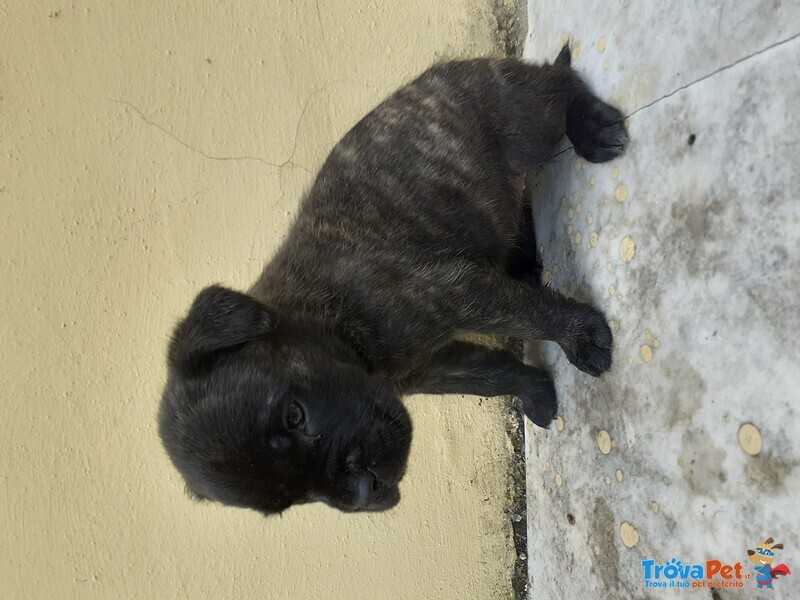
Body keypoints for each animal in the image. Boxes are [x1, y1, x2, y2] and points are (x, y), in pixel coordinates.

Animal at [159, 47, 628, 516]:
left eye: (294, 415)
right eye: (294, 502)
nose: (364, 492)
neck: (316, 316)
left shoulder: (461, 294)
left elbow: (535, 316)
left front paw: (583, 339)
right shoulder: (432, 368)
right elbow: (494, 375)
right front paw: (536, 392)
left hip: (524, 124)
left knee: (560, 86)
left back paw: (592, 129)